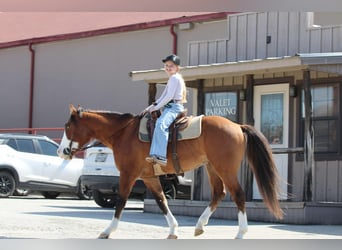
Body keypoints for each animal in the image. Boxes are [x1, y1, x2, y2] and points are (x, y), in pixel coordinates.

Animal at [58, 104, 284, 239]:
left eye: (68, 126)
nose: (62, 151)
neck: (123, 133)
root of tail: (238, 126)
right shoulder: (149, 177)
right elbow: (161, 201)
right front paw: (174, 230)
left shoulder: (128, 174)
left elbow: (121, 201)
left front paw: (107, 231)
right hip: (212, 167)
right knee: (218, 193)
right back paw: (199, 226)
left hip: (225, 169)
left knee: (238, 195)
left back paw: (241, 233)